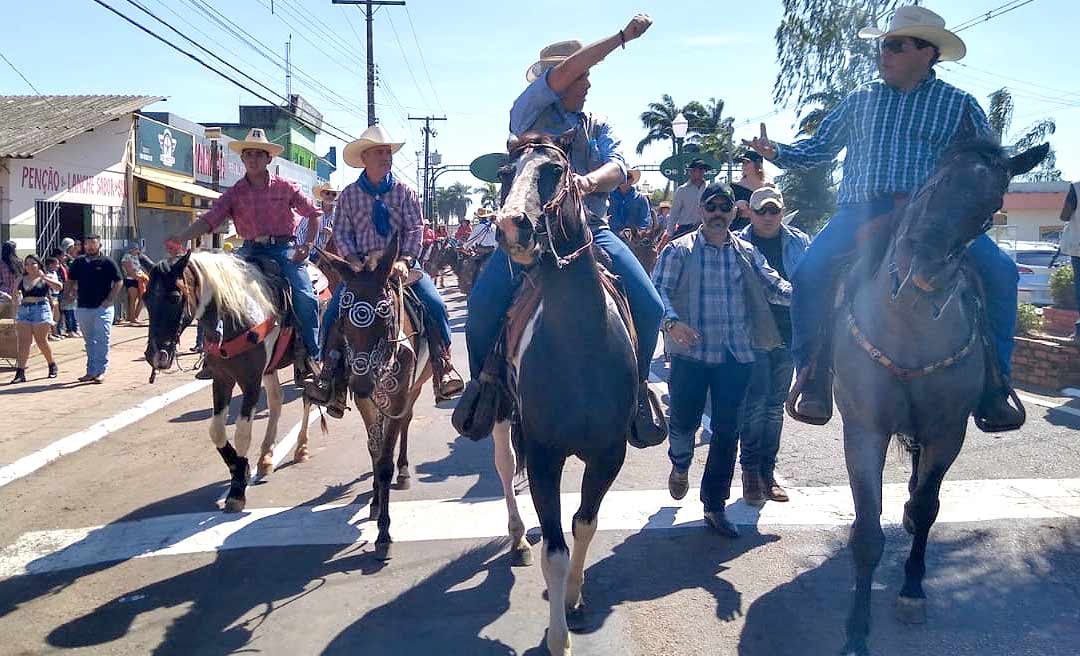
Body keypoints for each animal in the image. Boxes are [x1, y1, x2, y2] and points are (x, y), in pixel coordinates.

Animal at [143, 251, 319, 514]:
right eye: (145, 298)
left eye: (174, 297)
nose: (155, 355)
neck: (235, 318)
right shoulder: (222, 379)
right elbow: (216, 430)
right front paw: (240, 469)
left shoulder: (250, 381)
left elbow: (242, 433)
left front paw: (237, 491)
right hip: (270, 369)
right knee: (276, 402)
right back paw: (266, 457)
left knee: (308, 398)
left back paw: (301, 448)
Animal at [315, 233, 429, 561]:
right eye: (342, 320)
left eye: (385, 314)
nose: (362, 383)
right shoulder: (367, 401)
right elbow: (375, 451)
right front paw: (377, 502)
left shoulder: (400, 394)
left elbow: (386, 461)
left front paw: (384, 533)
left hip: (414, 389)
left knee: (405, 423)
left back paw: (403, 472)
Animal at [494, 134, 635, 656]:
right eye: (505, 174)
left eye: (555, 170)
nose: (510, 226)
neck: (579, 341)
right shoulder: (544, 455)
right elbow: (554, 549)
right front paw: (559, 639)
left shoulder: (608, 453)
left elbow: (584, 524)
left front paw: (574, 596)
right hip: (500, 413)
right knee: (502, 466)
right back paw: (517, 537)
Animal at [825, 141, 1045, 656]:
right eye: (936, 180)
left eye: (992, 208)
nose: (922, 270)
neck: (909, 327)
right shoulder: (864, 430)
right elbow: (867, 531)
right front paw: (856, 630)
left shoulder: (949, 431)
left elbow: (928, 508)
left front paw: (911, 591)